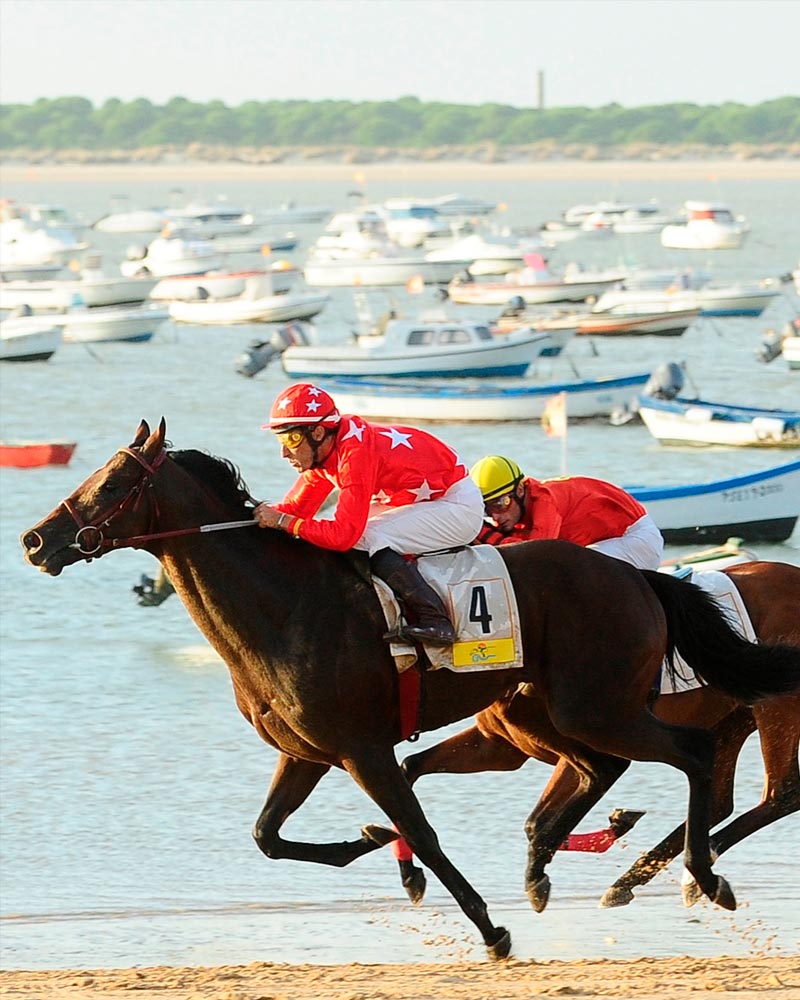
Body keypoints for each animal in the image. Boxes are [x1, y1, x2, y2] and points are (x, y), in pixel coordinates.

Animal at [394, 564, 800, 916]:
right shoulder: (498, 746)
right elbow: (412, 766)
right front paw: (407, 871)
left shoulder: (582, 740)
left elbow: (540, 821)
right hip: (733, 718)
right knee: (719, 799)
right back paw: (652, 877)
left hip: (776, 708)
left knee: (780, 795)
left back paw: (684, 873)